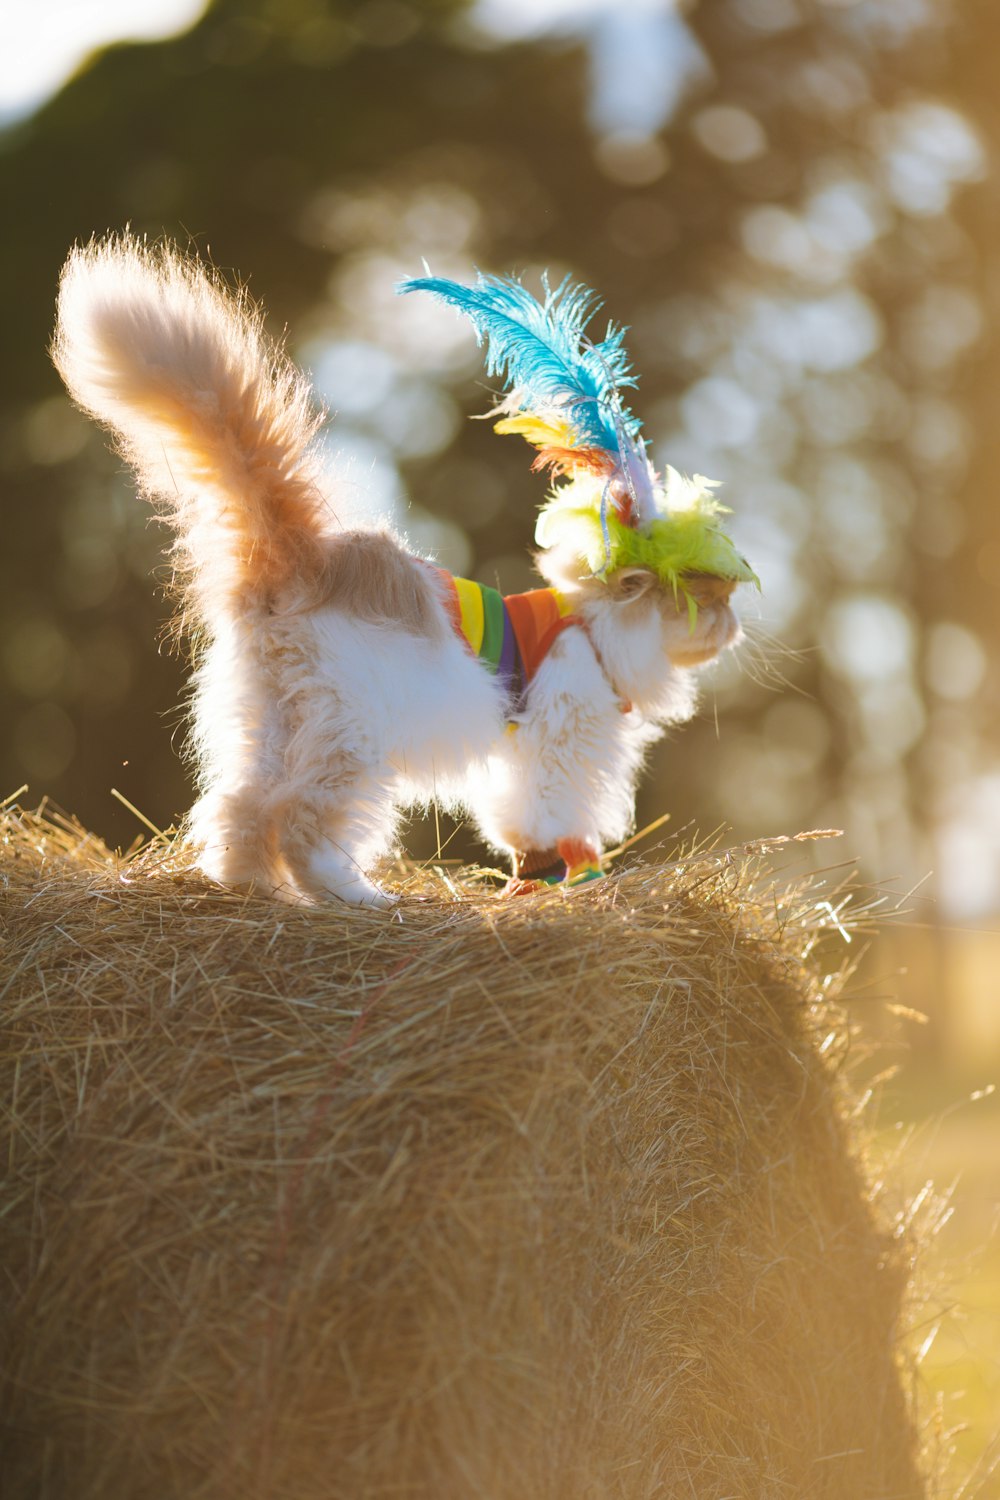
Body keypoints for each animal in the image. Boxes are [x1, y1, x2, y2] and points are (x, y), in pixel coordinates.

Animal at [50, 237, 746, 900]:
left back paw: (253, 888)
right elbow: (548, 816)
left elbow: (522, 819)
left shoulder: (521, 748)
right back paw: (355, 896)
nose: (735, 627)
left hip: (273, 724)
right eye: (711, 601)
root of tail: (303, 560)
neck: (596, 628)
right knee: (298, 821)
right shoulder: (560, 739)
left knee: (239, 809)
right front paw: (562, 872)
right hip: (354, 739)